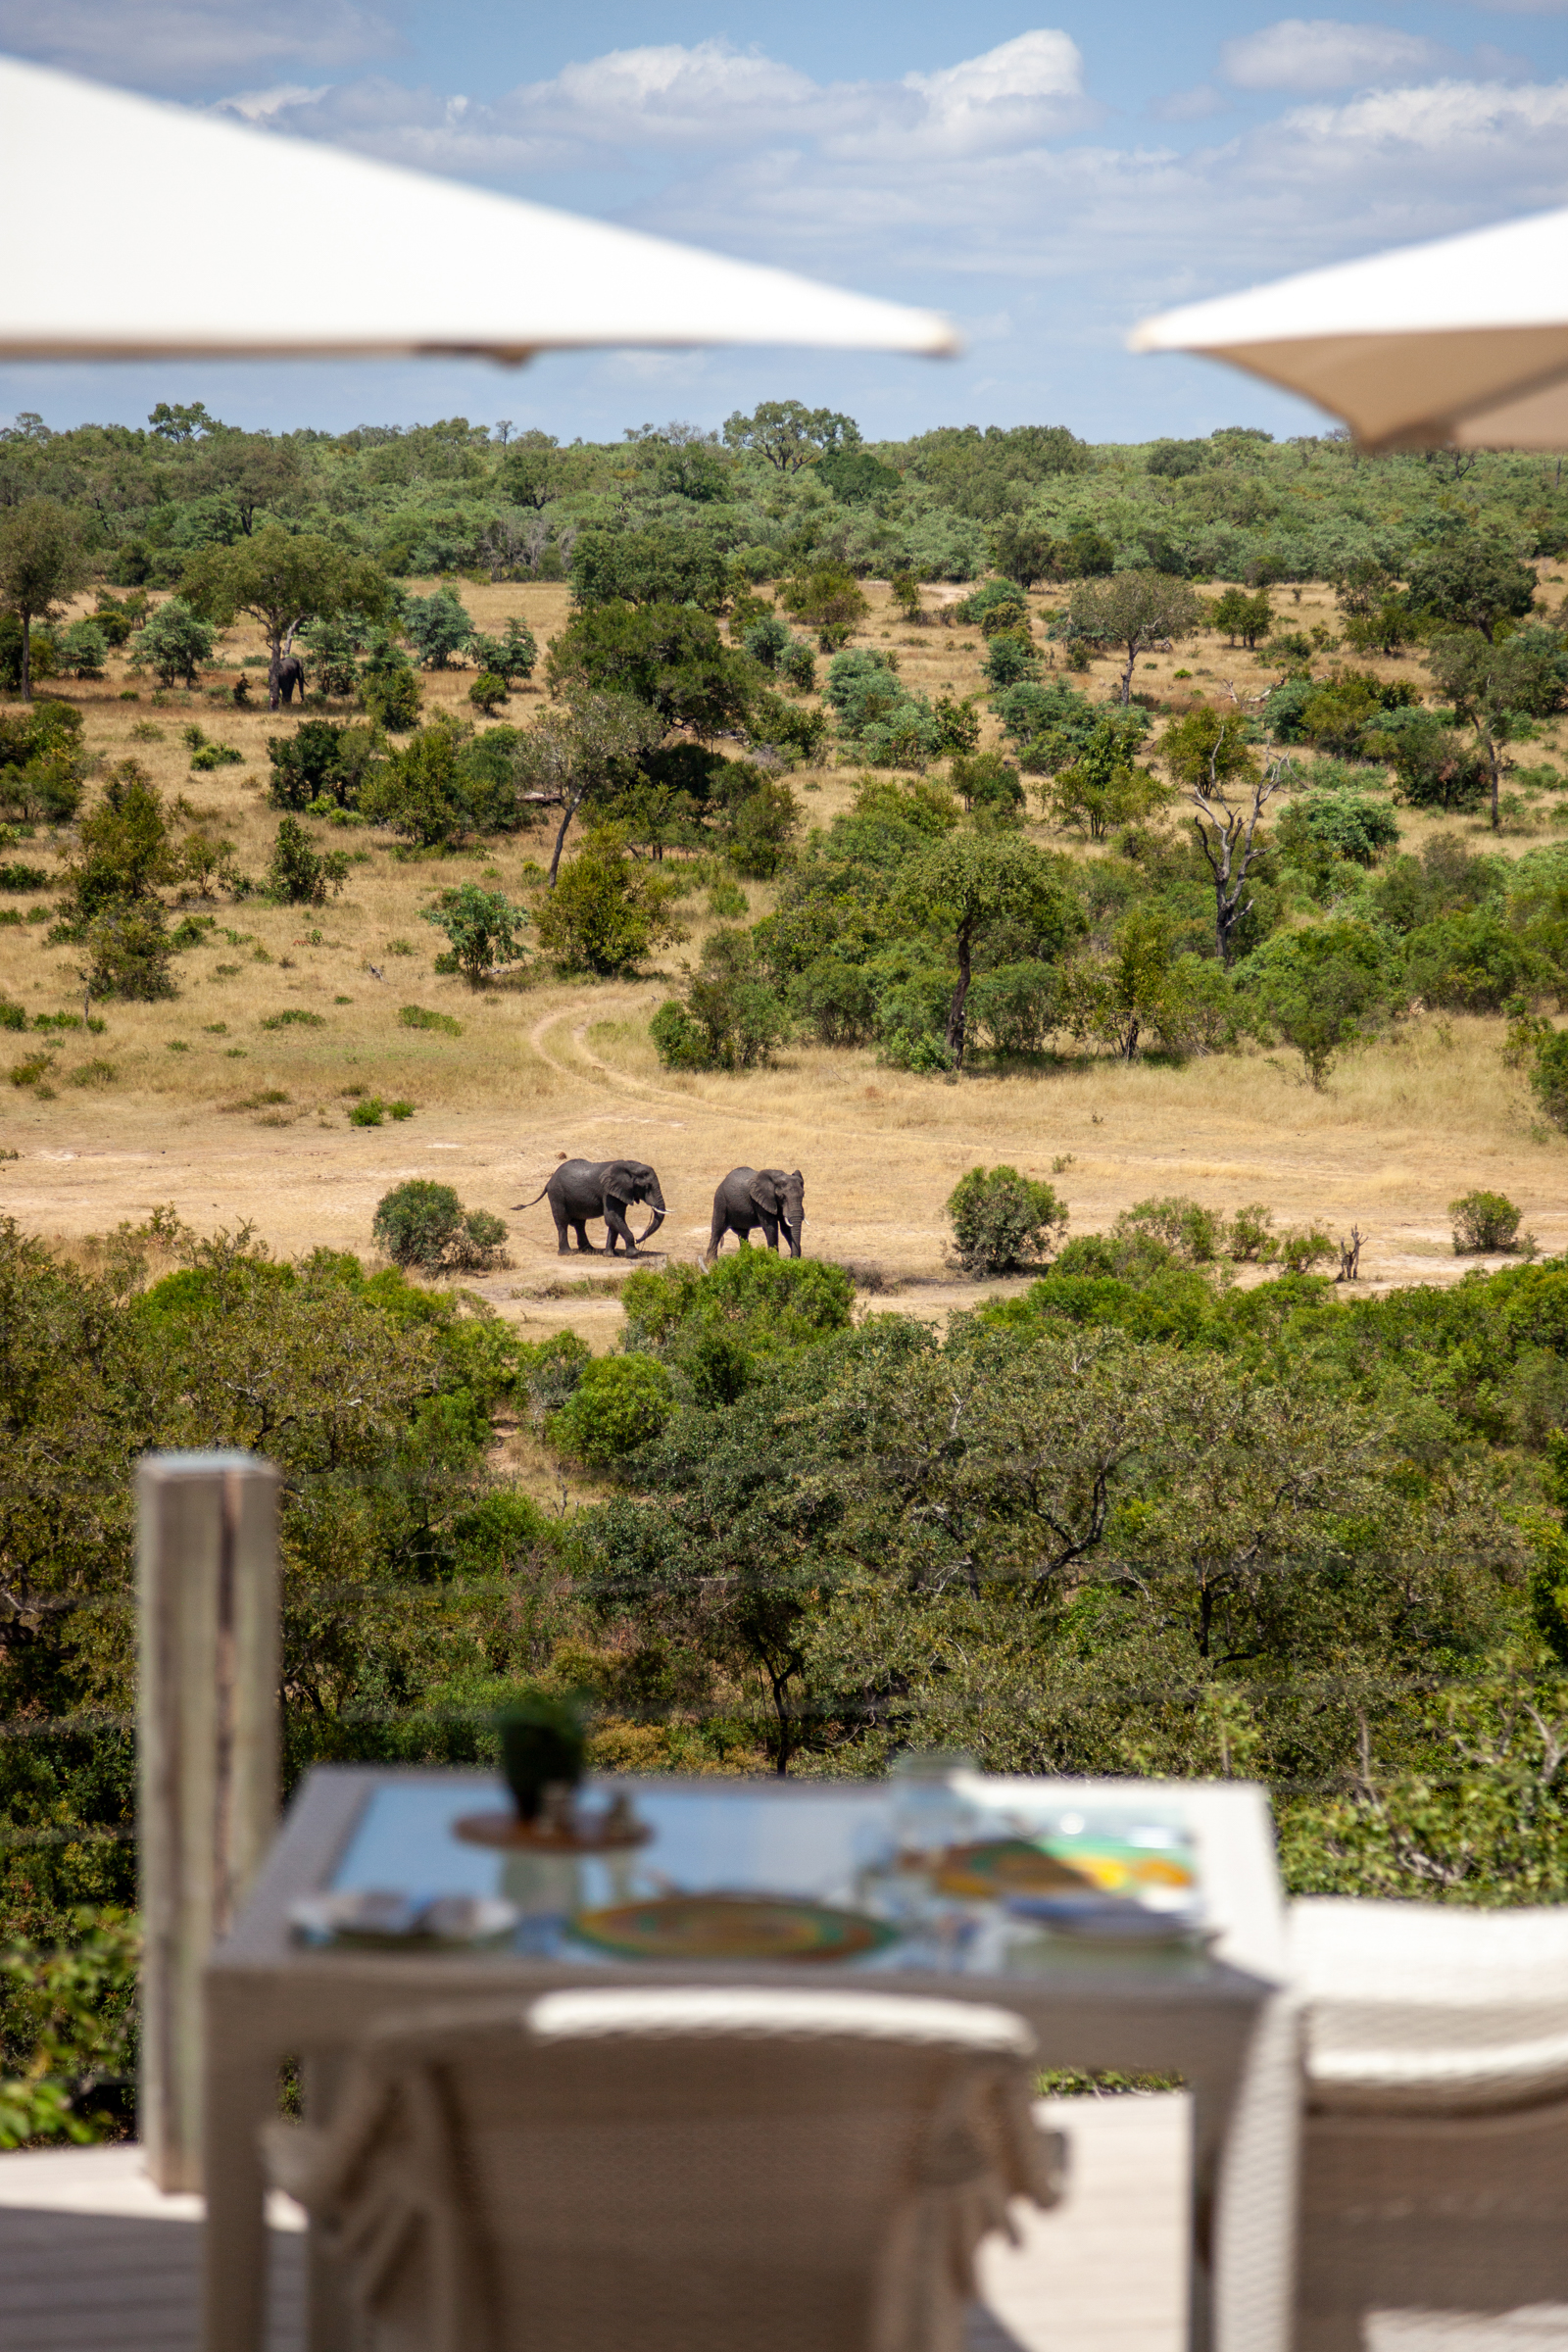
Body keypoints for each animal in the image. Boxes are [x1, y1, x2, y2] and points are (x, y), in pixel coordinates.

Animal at [513, 1158, 667, 1256]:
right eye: (646, 1186)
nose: (639, 1240)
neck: (629, 1166)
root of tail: (549, 1181)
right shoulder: (608, 1192)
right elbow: (612, 1217)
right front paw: (634, 1254)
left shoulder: (619, 1192)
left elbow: (615, 1219)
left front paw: (611, 1255)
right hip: (557, 1195)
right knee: (562, 1222)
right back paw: (567, 1254)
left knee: (579, 1224)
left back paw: (589, 1250)